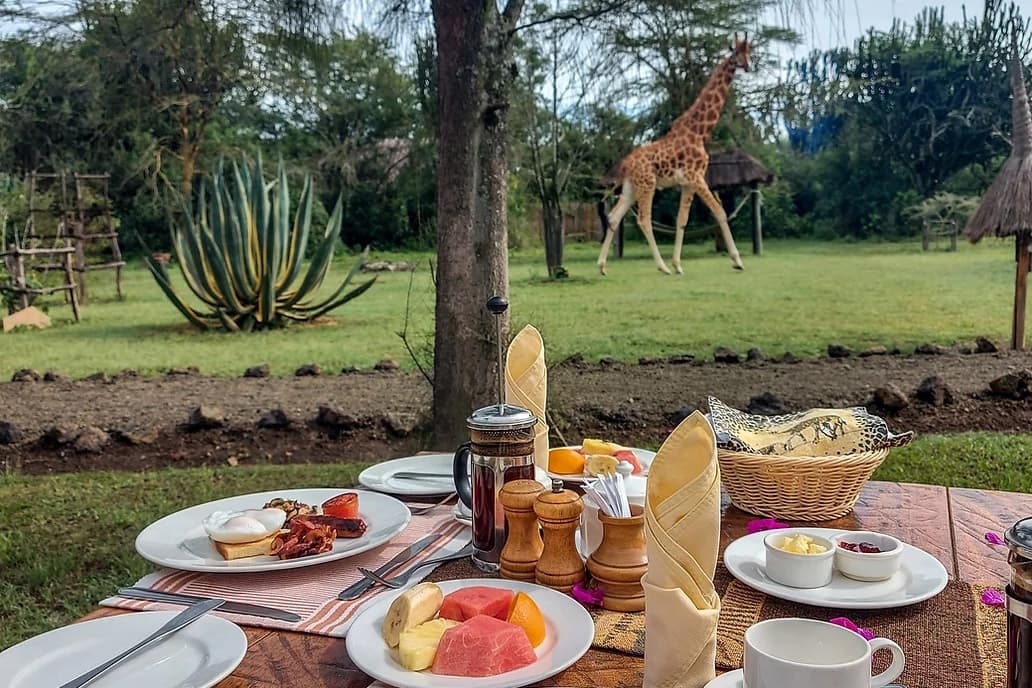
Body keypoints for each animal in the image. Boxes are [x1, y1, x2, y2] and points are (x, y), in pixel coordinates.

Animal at [598, 35, 751, 276]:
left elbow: (682, 220)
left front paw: (678, 264)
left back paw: (602, 266)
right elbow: (720, 213)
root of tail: (625, 165)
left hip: (631, 187)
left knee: (614, 216)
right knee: (644, 220)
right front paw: (737, 261)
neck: (700, 132)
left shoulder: (688, 183)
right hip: (648, 184)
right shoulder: (697, 177)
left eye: (750, 50)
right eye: (737, 52)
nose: (749, 66)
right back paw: (661, 267)